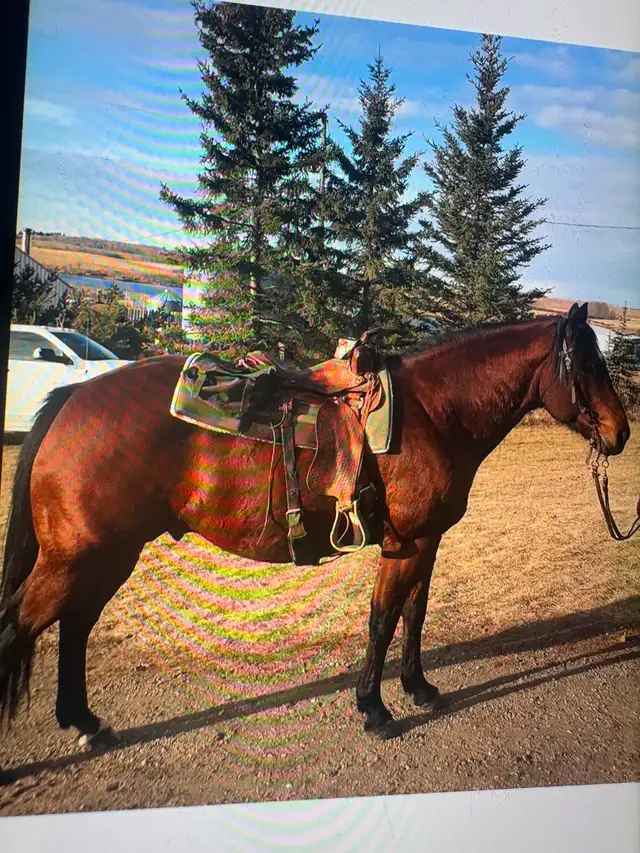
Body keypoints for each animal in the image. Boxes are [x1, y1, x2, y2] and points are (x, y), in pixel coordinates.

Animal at [0, 302, 631, 758]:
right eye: (588, 365)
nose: (620, 433)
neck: (434, 412)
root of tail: (72, 399)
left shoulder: (427, 543)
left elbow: (414, 614)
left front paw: (420, 689)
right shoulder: (405, 544)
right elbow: (382, 619)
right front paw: (374, 709)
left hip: (105, 556)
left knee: (74, 628)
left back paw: (87, 723)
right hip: (79, 558)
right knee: (23, 628)